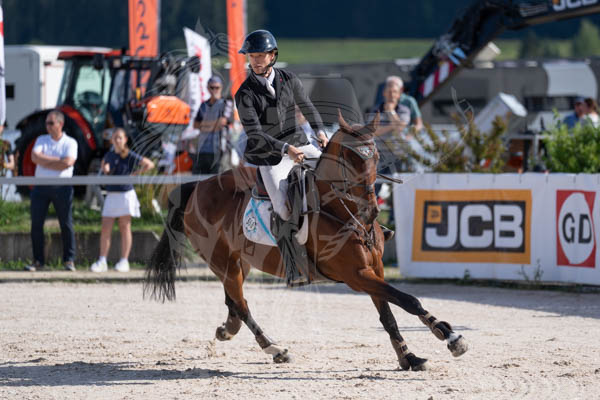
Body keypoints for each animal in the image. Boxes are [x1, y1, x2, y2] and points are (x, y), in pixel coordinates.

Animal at [144, 113, 468, 371]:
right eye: (349, 160)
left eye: (374, 156)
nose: (371, 210)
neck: (343, 212)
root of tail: (199, 185)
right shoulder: (356, 275)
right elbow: (407, 300)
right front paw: (451, 337)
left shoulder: (374, 270)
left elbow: (389, 313)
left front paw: (409, 357)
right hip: (223, 263)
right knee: (241, 304)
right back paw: (274, 348)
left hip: (237, 261)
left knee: (233, 302)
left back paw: (228, 331)